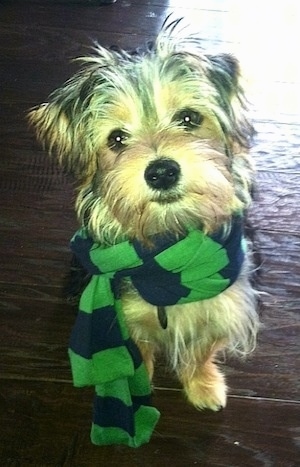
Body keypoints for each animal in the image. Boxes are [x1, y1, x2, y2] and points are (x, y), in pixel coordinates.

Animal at [29, 18, 260, 440]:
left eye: (189, 118)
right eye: (117, 139)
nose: (162, 172)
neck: (171, 254)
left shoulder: (221, 305)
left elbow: (201, 349)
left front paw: (203, 384)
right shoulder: (126, 318)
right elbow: (138, 356)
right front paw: (141, 385)